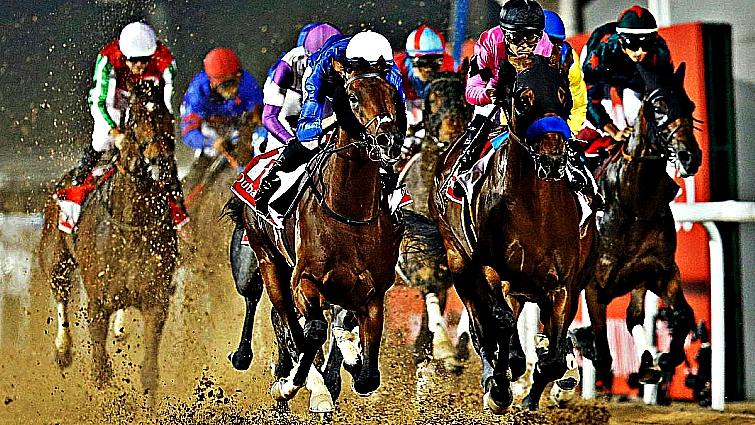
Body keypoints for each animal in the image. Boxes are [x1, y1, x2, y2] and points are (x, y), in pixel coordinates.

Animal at [39, 80, 178, 408]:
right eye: (136, 118)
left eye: (168, 116)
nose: (161, 160)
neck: (132, 225)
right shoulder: (98, 304)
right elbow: (101, 370)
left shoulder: (156, 301)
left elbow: (149, 370)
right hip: (55, 259)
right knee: (61, 295)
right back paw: (63, 350)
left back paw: (121, 328)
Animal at [225, 56, 404, 412]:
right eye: (352, 97)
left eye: (392, 93)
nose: (389, 140)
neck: (348, 214)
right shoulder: (304, 281)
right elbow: (312, 332)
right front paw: (297, 384)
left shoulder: (372, 294)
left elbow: (367, 376)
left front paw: (350, 359)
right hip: (268, 260)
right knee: (280, 315)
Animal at [394, 67, 474, 379]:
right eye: (432, 100)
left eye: (465, 100)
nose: (452, 137)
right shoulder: (416, 258)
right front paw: (443, 346)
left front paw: (457, 350)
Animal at [429, 55, 597, 412]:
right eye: (523, 100)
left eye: (564, 96)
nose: (552, 158)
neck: (536, 211)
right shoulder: (491, 269)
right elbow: (500, 325)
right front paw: (501, 387)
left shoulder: (562, 286)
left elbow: (553, 359)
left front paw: (534, 395)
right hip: (459, 263)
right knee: (483, 327)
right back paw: (495, 378)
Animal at [574, 62, 702, 400]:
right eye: (658, 106)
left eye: (689, 105)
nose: (690, 156)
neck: (634, 205)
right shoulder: (595, 285)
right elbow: (601, 349)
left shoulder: (660, 271)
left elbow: (682, 314)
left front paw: (665, 358)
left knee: (633, 316)